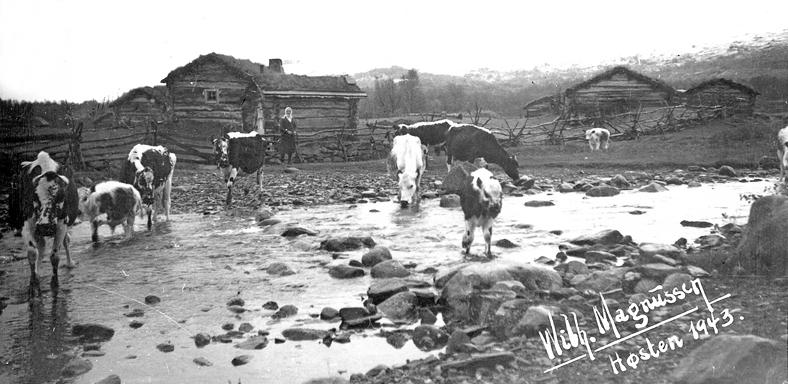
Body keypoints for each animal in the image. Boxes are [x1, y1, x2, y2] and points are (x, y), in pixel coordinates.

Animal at [11, 152, 80, 296]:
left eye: (61, 196)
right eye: (34, 196)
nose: (45, 227)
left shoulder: (61, 225)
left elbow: (54, 256)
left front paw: (55, 284)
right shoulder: (27, 225)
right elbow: (32, 253)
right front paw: (33, 284)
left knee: (66, 241)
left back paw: (70, 263)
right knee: (41, 247)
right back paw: (38, 273)